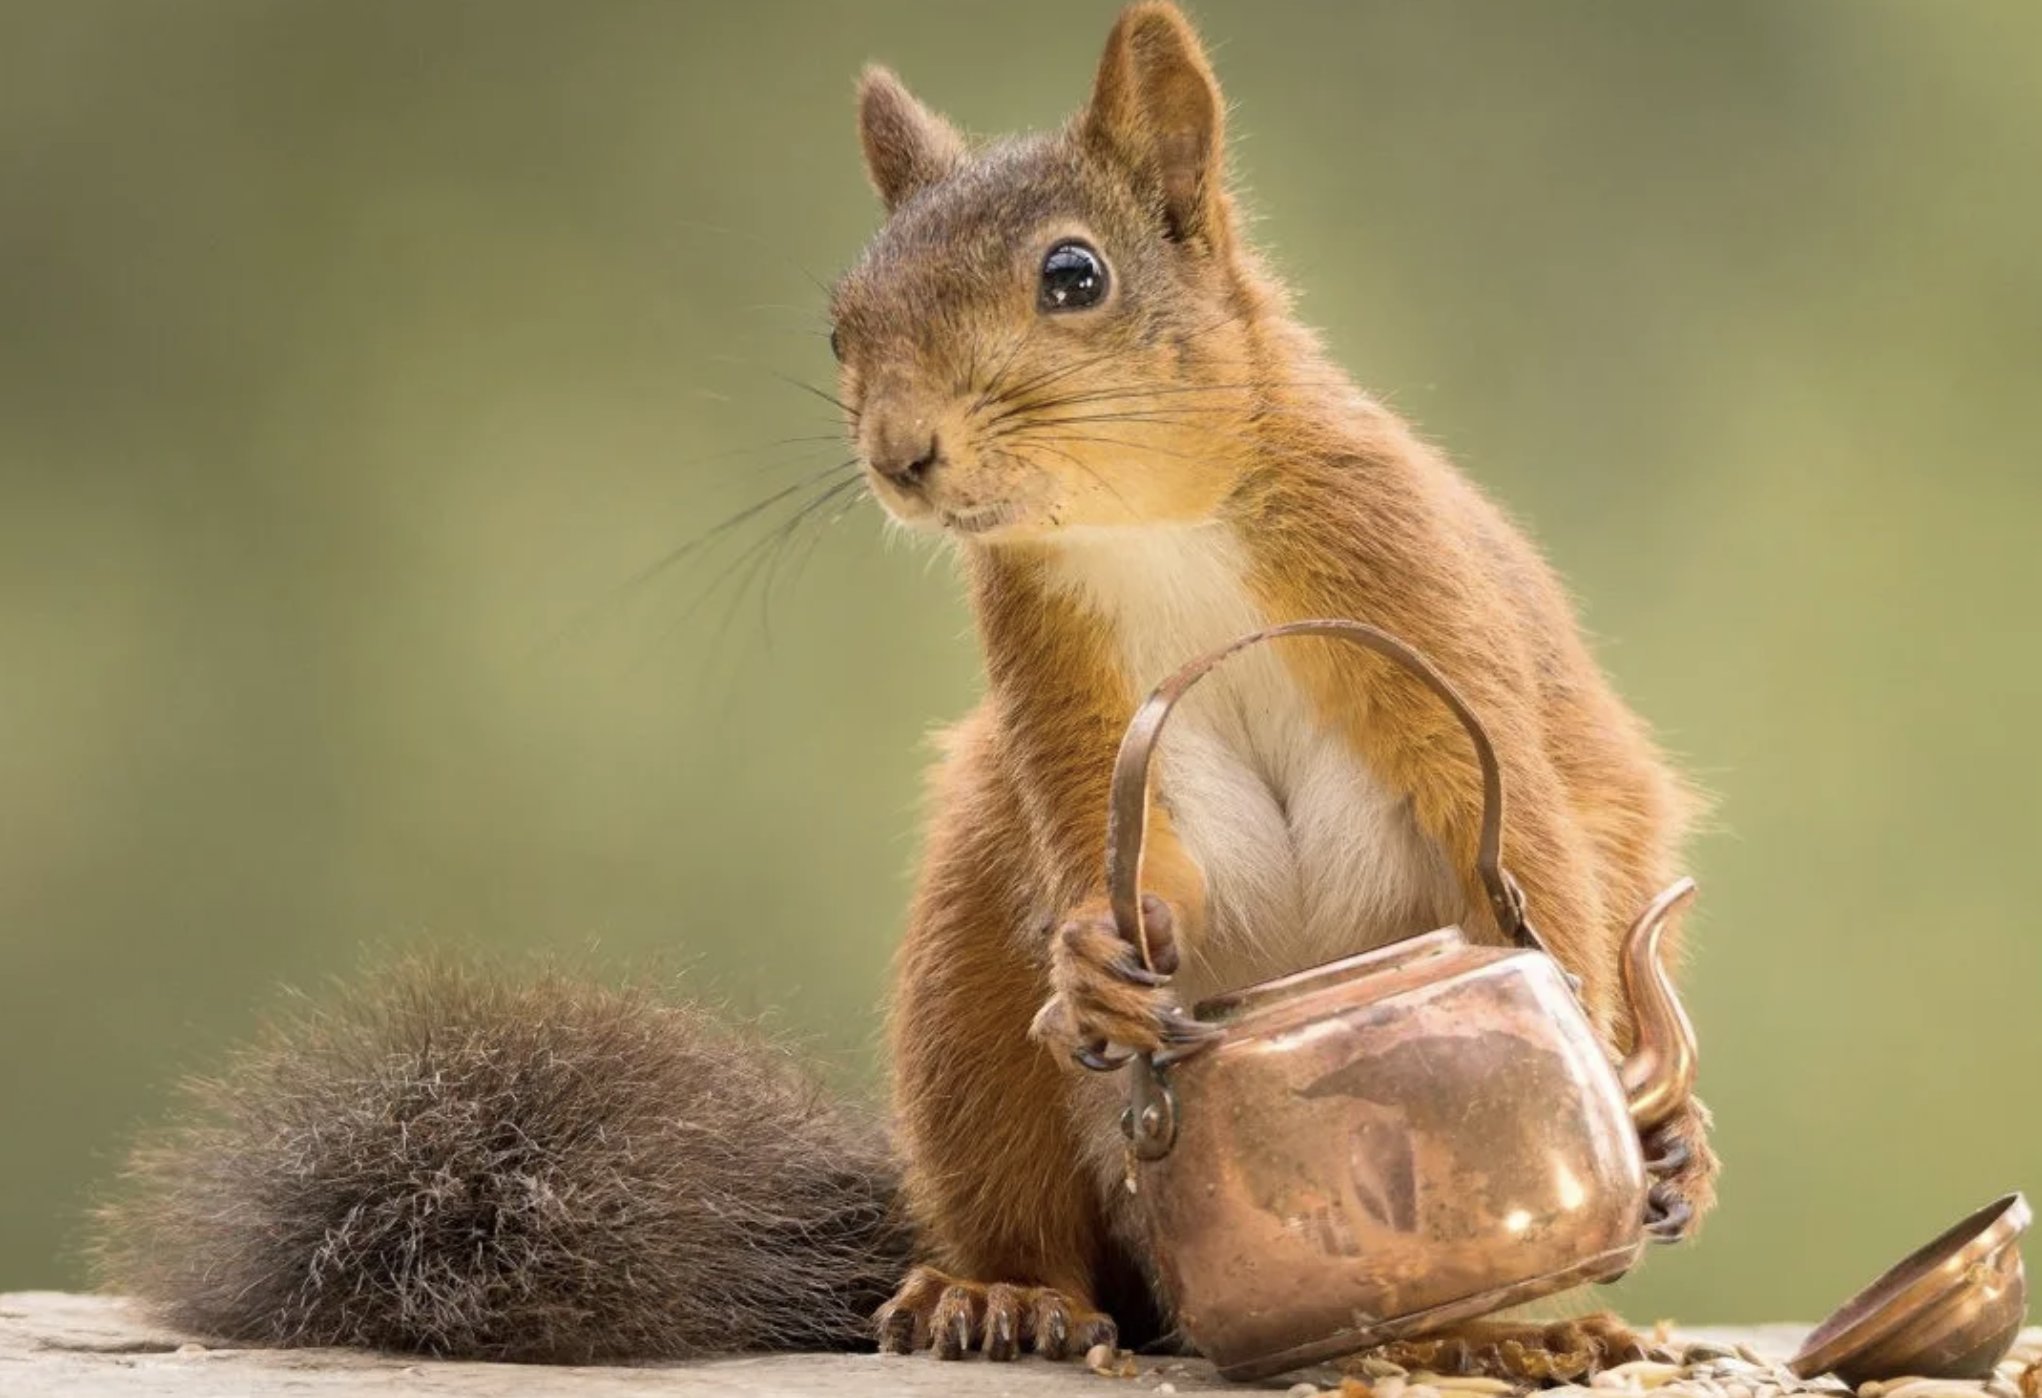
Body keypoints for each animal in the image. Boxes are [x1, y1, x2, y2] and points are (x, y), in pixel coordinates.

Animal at [99, 0, 1723, 1371]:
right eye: (840, 321)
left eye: (1073, 276)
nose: (899, 453)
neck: (1149, 526)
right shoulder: (1053, 679)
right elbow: (1120, 850)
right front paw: (1096, 959)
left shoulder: (1410, 588)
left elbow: (1520, 837)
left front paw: (1606, 1076)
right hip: (966, 992)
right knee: (1036, 1214)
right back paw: (998, 1293)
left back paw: (1523, 1318)